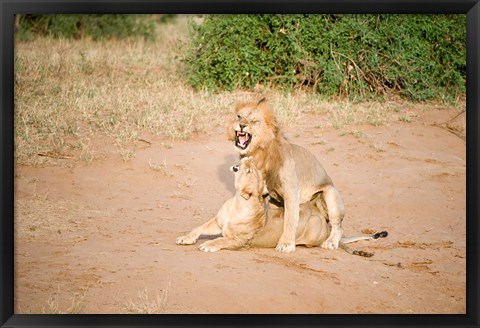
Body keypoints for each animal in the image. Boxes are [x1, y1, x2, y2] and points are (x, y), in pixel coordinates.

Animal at [176, 156, 386, 254]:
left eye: (250, 170)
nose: (248, 158)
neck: (237, 202)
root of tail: (322, 220)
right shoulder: (218, 221)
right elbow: (198, 228)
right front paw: (185, 238)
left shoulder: (240, 241)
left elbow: (221, 240)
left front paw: (208, 245)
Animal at [228, 96, 344, 252]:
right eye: (239, 116)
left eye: (253, 121)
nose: (241, 125)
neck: (260, 153)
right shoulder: (268, 195)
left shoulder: (291, 191)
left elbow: (290, 220)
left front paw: (286, 244)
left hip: (330, 193)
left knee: (338, 227)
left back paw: (330, 242)